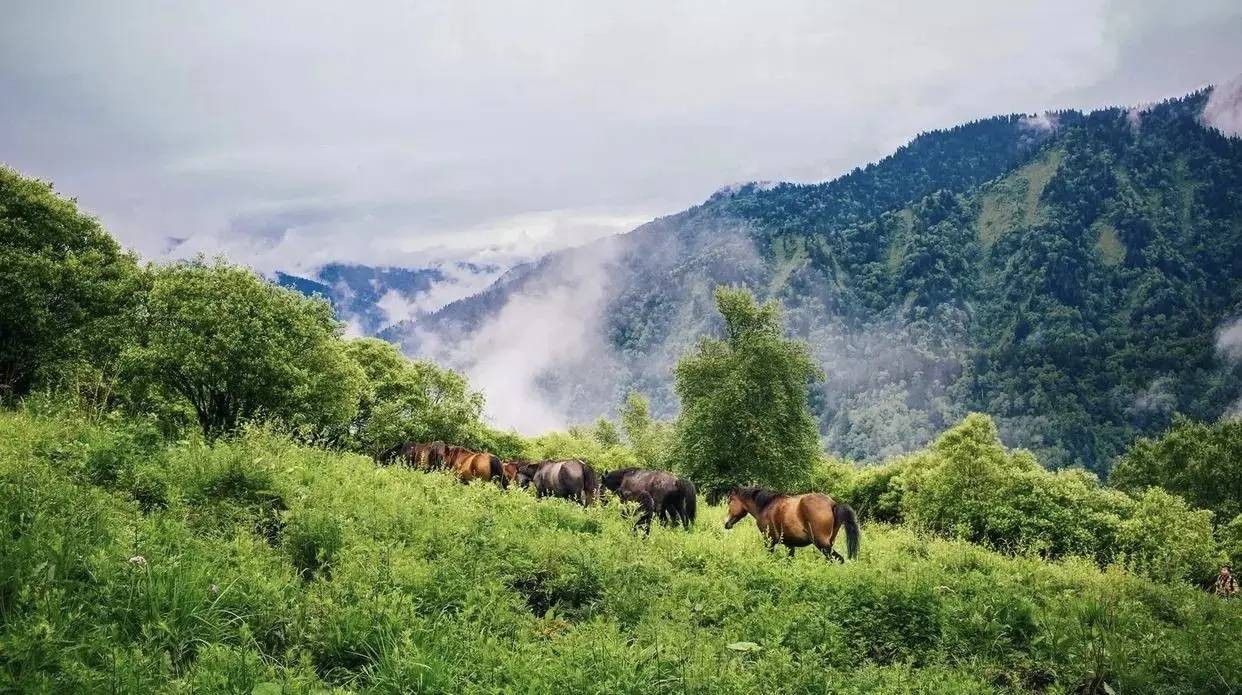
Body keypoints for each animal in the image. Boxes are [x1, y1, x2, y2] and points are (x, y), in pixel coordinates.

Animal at [725, 486, 859, 560]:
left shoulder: (769, 541)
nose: (726, 523)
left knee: (838, 559)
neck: (766, 506)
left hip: (822, 545)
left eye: (730, 501)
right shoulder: (790, 544)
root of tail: (833, 504)